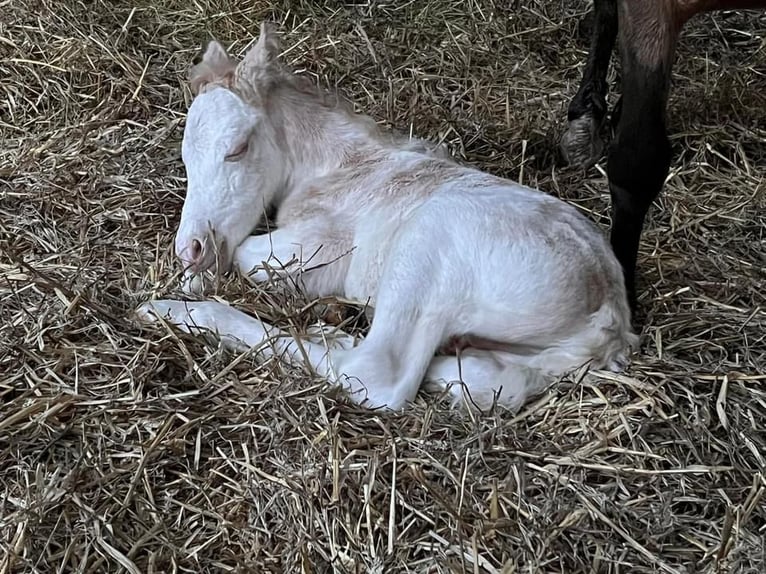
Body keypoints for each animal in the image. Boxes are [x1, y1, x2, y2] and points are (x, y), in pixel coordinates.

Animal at [135, 21, 640, 410]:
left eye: (237, 148)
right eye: (185, 157)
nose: (190, 247)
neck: (338, 163)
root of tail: (608, 313)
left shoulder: (323, 245)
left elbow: (245, 255)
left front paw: (195, 284)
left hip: (429, 244)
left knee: (377, 375)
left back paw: (173, 312)